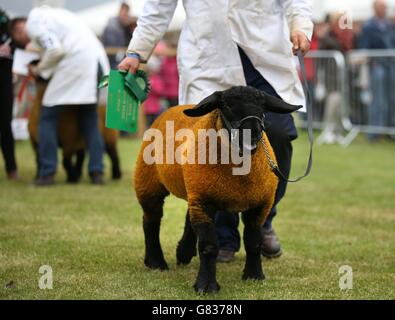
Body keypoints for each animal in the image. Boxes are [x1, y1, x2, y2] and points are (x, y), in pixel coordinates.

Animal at [135, 85, 302, 296]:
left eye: (262, 108)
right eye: (226, 106)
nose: (253, 133)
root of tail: (171, 109)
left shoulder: (259, 204)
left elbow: (253, 242)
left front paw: (254, 275)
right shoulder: (205, 201)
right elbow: (209, 246)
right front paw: (206, 285)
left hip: (195, 189)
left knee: (187, 217)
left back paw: (183, 253)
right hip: (149, 181)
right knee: (151, 221)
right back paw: (156, 261)